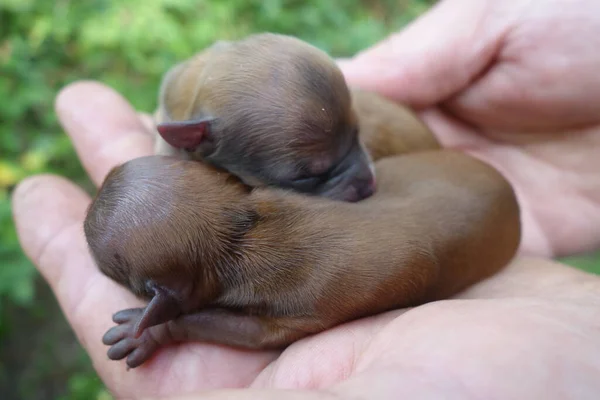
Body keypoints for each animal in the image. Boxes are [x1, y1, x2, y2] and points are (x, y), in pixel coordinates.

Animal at [84, 152, 520, 368]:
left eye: (112, 266)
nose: (88, 209)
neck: (240, 235)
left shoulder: (295, 313)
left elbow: (231, 328)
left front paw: (148, 332)